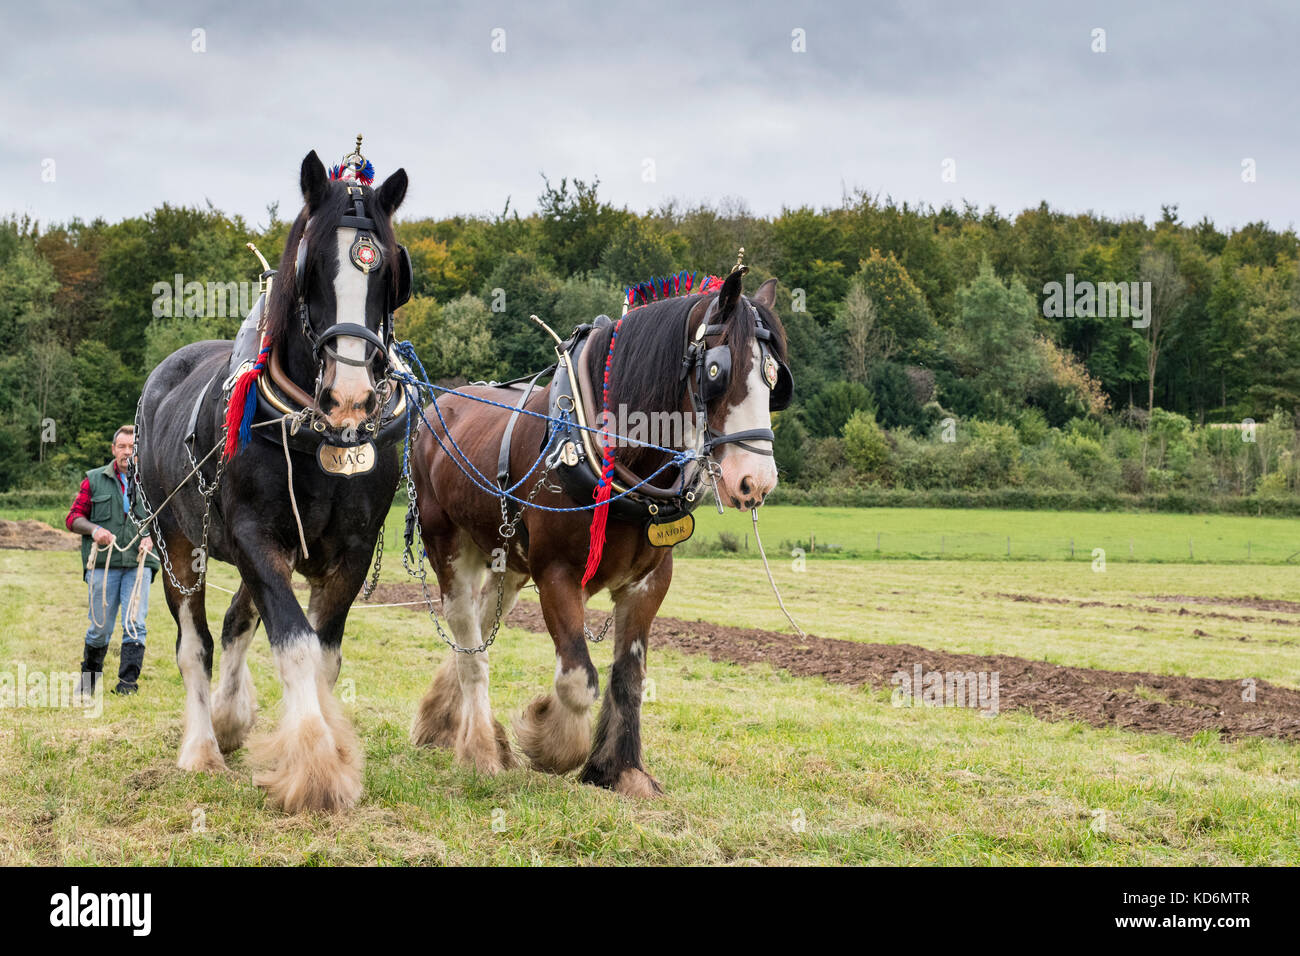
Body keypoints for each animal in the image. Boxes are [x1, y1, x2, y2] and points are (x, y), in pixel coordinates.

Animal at [137, 151, 405, 816]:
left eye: (388, 269)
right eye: (311, 267)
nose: (350, 397)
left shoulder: (350, 552)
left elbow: (323, 654)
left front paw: (324, 748)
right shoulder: (256, 537)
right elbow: (295, 643)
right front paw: (315, 769)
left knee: (237, 619)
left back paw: (230, 719)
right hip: (177, 541)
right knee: (196, 643)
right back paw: (202, 747)